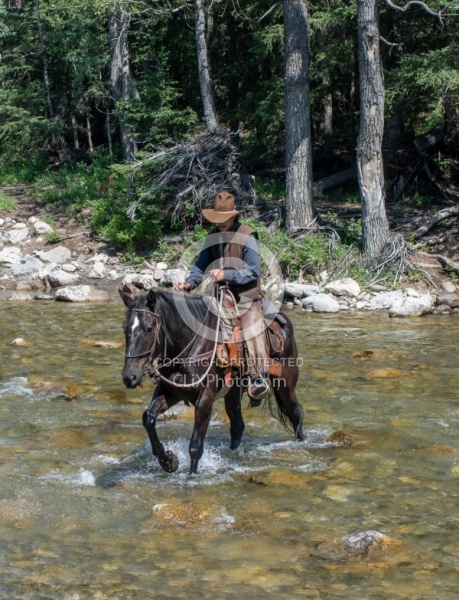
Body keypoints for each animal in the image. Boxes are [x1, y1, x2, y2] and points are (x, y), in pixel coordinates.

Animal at [120, 284, 304, 476]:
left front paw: (190, 476)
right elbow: (148, 417)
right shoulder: (171, 392)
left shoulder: (205, 398)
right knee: (237, 425)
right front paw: (168, 461)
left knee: (295, 413)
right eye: (125, 329)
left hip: (286, 384)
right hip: (233, 392)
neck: (189, 347)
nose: (129, 376)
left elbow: (195, 445)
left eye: (149, 329)